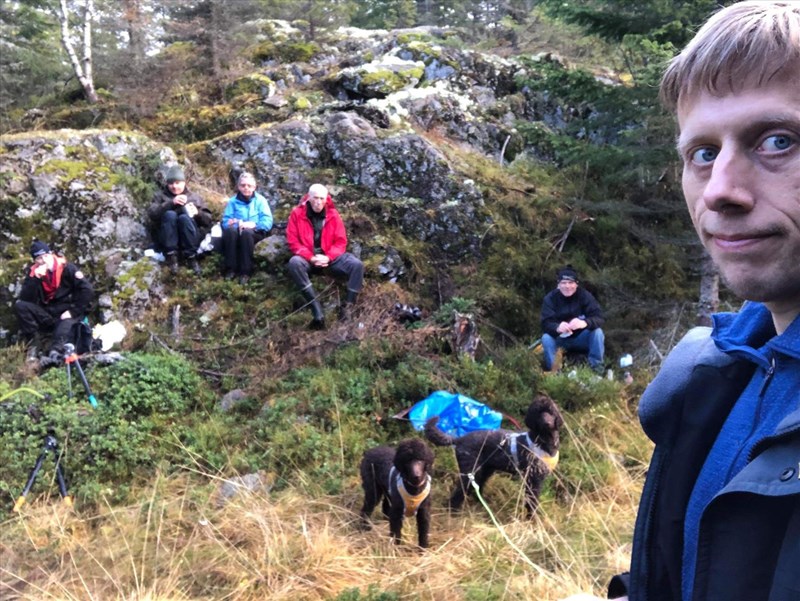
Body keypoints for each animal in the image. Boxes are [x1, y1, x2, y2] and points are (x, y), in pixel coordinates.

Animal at [424, 394, 564, 516]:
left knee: (476, 489)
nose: (546, 423)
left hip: (485, 470)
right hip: (471, 471)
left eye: (551, 411)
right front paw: (532, 520)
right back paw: (454, 513)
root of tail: (459, 439)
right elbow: (532, 503)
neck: (543, 441)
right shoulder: (533, 480)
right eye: (538, 413)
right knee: (460, 492)